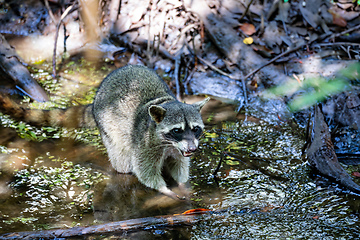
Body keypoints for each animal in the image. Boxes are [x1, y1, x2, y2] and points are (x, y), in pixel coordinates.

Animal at [0, 64, 210, 199]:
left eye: (195, 129)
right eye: (177, 130)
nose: (193, 149)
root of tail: (95, 100)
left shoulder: (179, 149)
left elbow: (179, 165)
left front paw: (183, 184)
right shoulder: (145, 143)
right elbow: (144, 171)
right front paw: (163, 189)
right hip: (109, 128)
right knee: (123, 162)